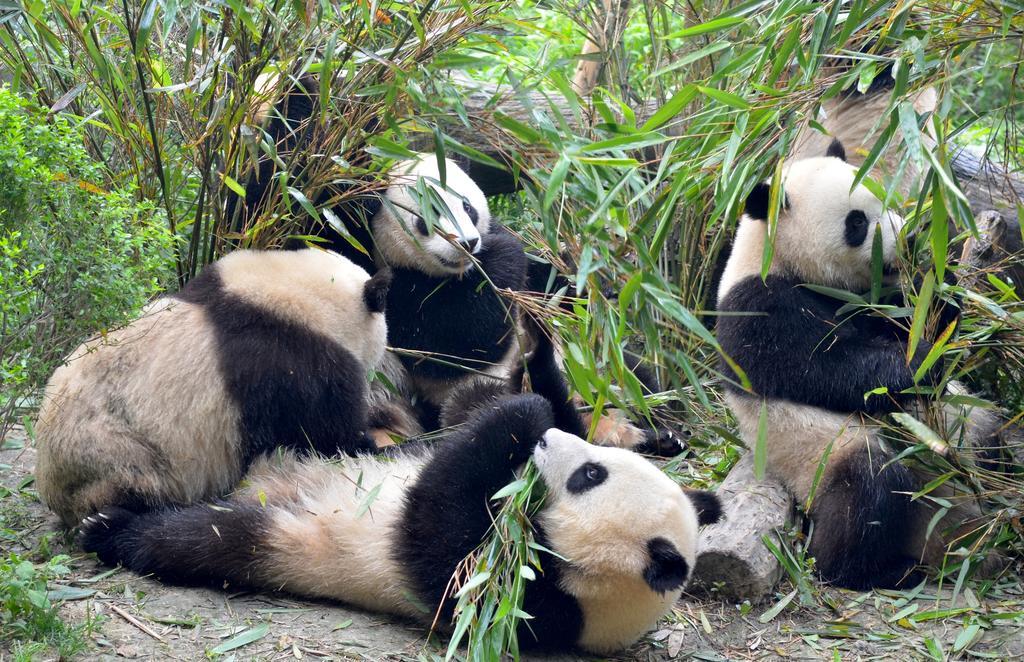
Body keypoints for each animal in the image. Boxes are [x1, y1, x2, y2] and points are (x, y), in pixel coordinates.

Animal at [33, 249, 391, 528]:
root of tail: (50, 485)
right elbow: (327, 430)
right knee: (138, 482)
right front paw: (371, 445)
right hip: (117, 451)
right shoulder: (294, 363)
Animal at [79, 393, 720, 659]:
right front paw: (540, 412)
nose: (549, 444)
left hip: (287, 537)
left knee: (202, 537)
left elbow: (436, 528)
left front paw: (521, 420)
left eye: (590, 474)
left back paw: (110, 529)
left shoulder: (518, 601)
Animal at [712, 141, 999, 590]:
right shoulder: (757, 308)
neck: (775, 255)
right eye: (857, 222)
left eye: (887, 199)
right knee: (869, 491)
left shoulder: (874, 300)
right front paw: (917, 364)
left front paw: (940, 278)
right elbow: (825, 368)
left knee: (995, 433)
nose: (910, 237)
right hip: (822, 457)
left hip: (970, 424)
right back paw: (879, 569)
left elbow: (919, 319)